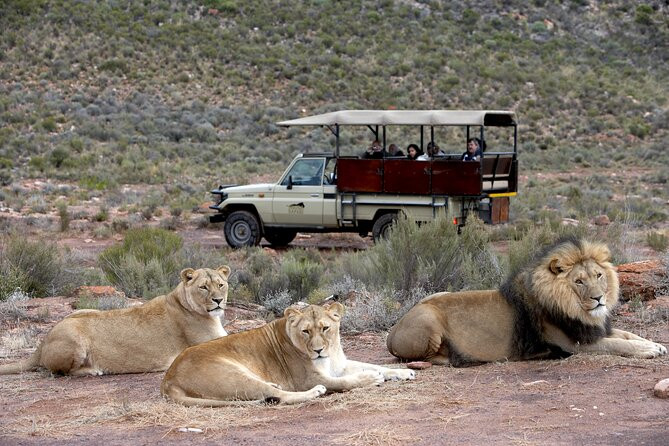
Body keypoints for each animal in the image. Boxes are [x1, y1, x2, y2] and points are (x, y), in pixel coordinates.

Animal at [0, 266, 231, 376]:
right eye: (203, 287)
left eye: (221, 284)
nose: (218, 300)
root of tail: (43, 341)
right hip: (74, 337)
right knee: (61, 372)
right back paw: (94, 370)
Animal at [161, 302, 416, 406]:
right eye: (306, 331)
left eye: (325, 328)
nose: (318, 350)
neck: (331, 352)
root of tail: (168, 379)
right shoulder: (309, 378)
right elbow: (345, 381)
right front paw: (370, 379)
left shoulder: (339, 365)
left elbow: (374, 365)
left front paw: (403, 373)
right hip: (234, 375)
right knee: (278, 396)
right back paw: (314, 392)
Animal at [386, 238, 667, 366]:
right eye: (579, 281)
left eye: (598, 275)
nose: (599, 298)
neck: (580, 311)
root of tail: (393, 330)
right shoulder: (575, 344)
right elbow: (617, 344)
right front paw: (648, 351)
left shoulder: (593, 329)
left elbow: (627, 335)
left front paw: (655, 344)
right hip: (429, 319)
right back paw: (457, 358)